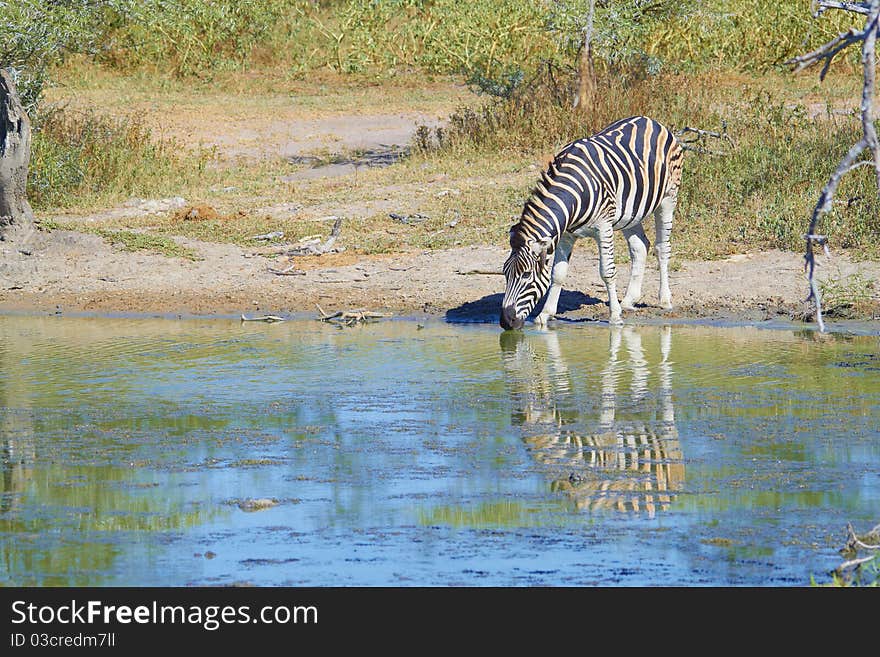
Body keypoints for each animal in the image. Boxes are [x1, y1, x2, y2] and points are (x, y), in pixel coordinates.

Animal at [498, 116, 684, 330]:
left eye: (527, 275)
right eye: (505, 273)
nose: (506, 322)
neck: (573, 193)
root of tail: (651, 121)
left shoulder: (603, 227)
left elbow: (607, 272)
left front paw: (615, 316)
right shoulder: (566, 234)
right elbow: (558, 274)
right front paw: (545, 314)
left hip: (668, 197)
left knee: (662, 248)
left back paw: (664, 301)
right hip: (631, 213)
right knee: (640, 247)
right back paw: (629, 300)